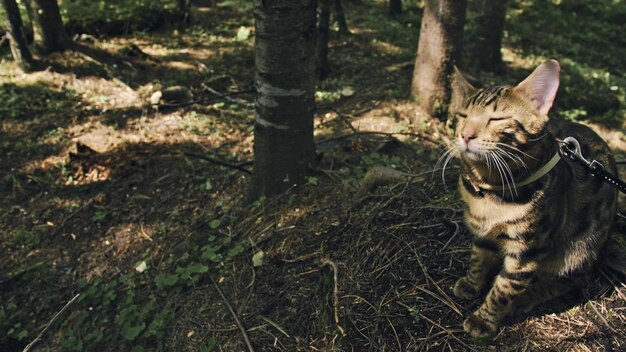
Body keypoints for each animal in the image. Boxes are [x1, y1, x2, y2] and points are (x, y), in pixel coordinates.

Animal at [446, 59, 616, 338]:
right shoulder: (481, 234)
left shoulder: (527, 250)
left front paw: (484, 319)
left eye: (497, 118)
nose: (466, 135)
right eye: (463, 116)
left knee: (574, 279)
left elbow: (503, 289)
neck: (492, 190)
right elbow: (479, 260)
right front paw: (472, 284)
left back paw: (527, 297)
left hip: (580, 248)